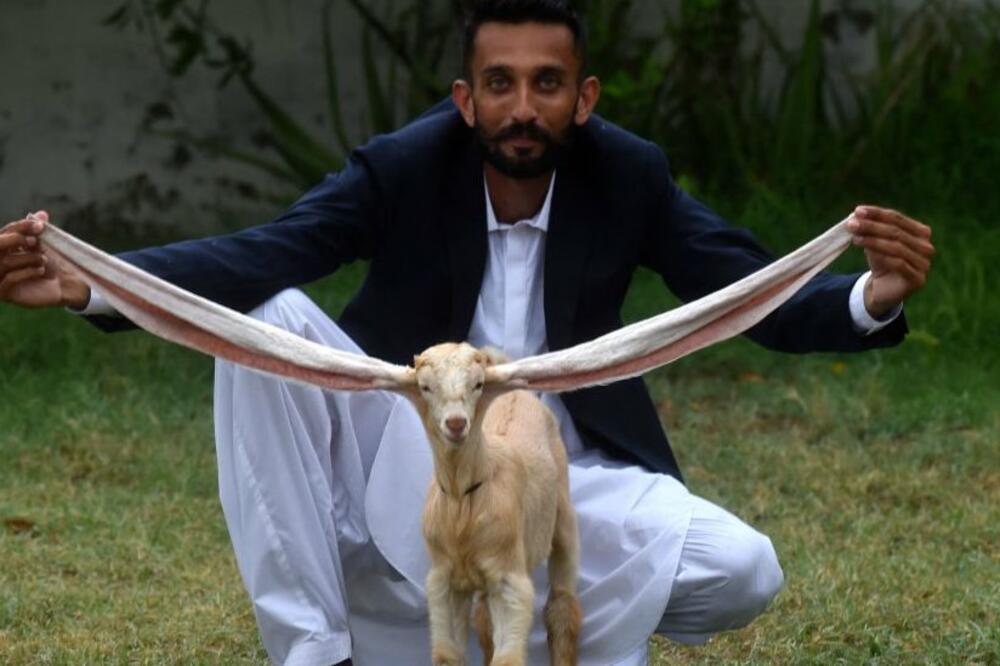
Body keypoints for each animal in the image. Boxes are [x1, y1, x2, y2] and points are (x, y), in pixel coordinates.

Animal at [410, 342, 584, 664]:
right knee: (484, 618)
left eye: (478, 384)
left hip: (562, 513)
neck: (462, 501)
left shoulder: (509, 581)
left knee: (563, 604)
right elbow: (446, 653)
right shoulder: (443, 580)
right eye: (425, 387)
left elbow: (508, 657)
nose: (456, 424)